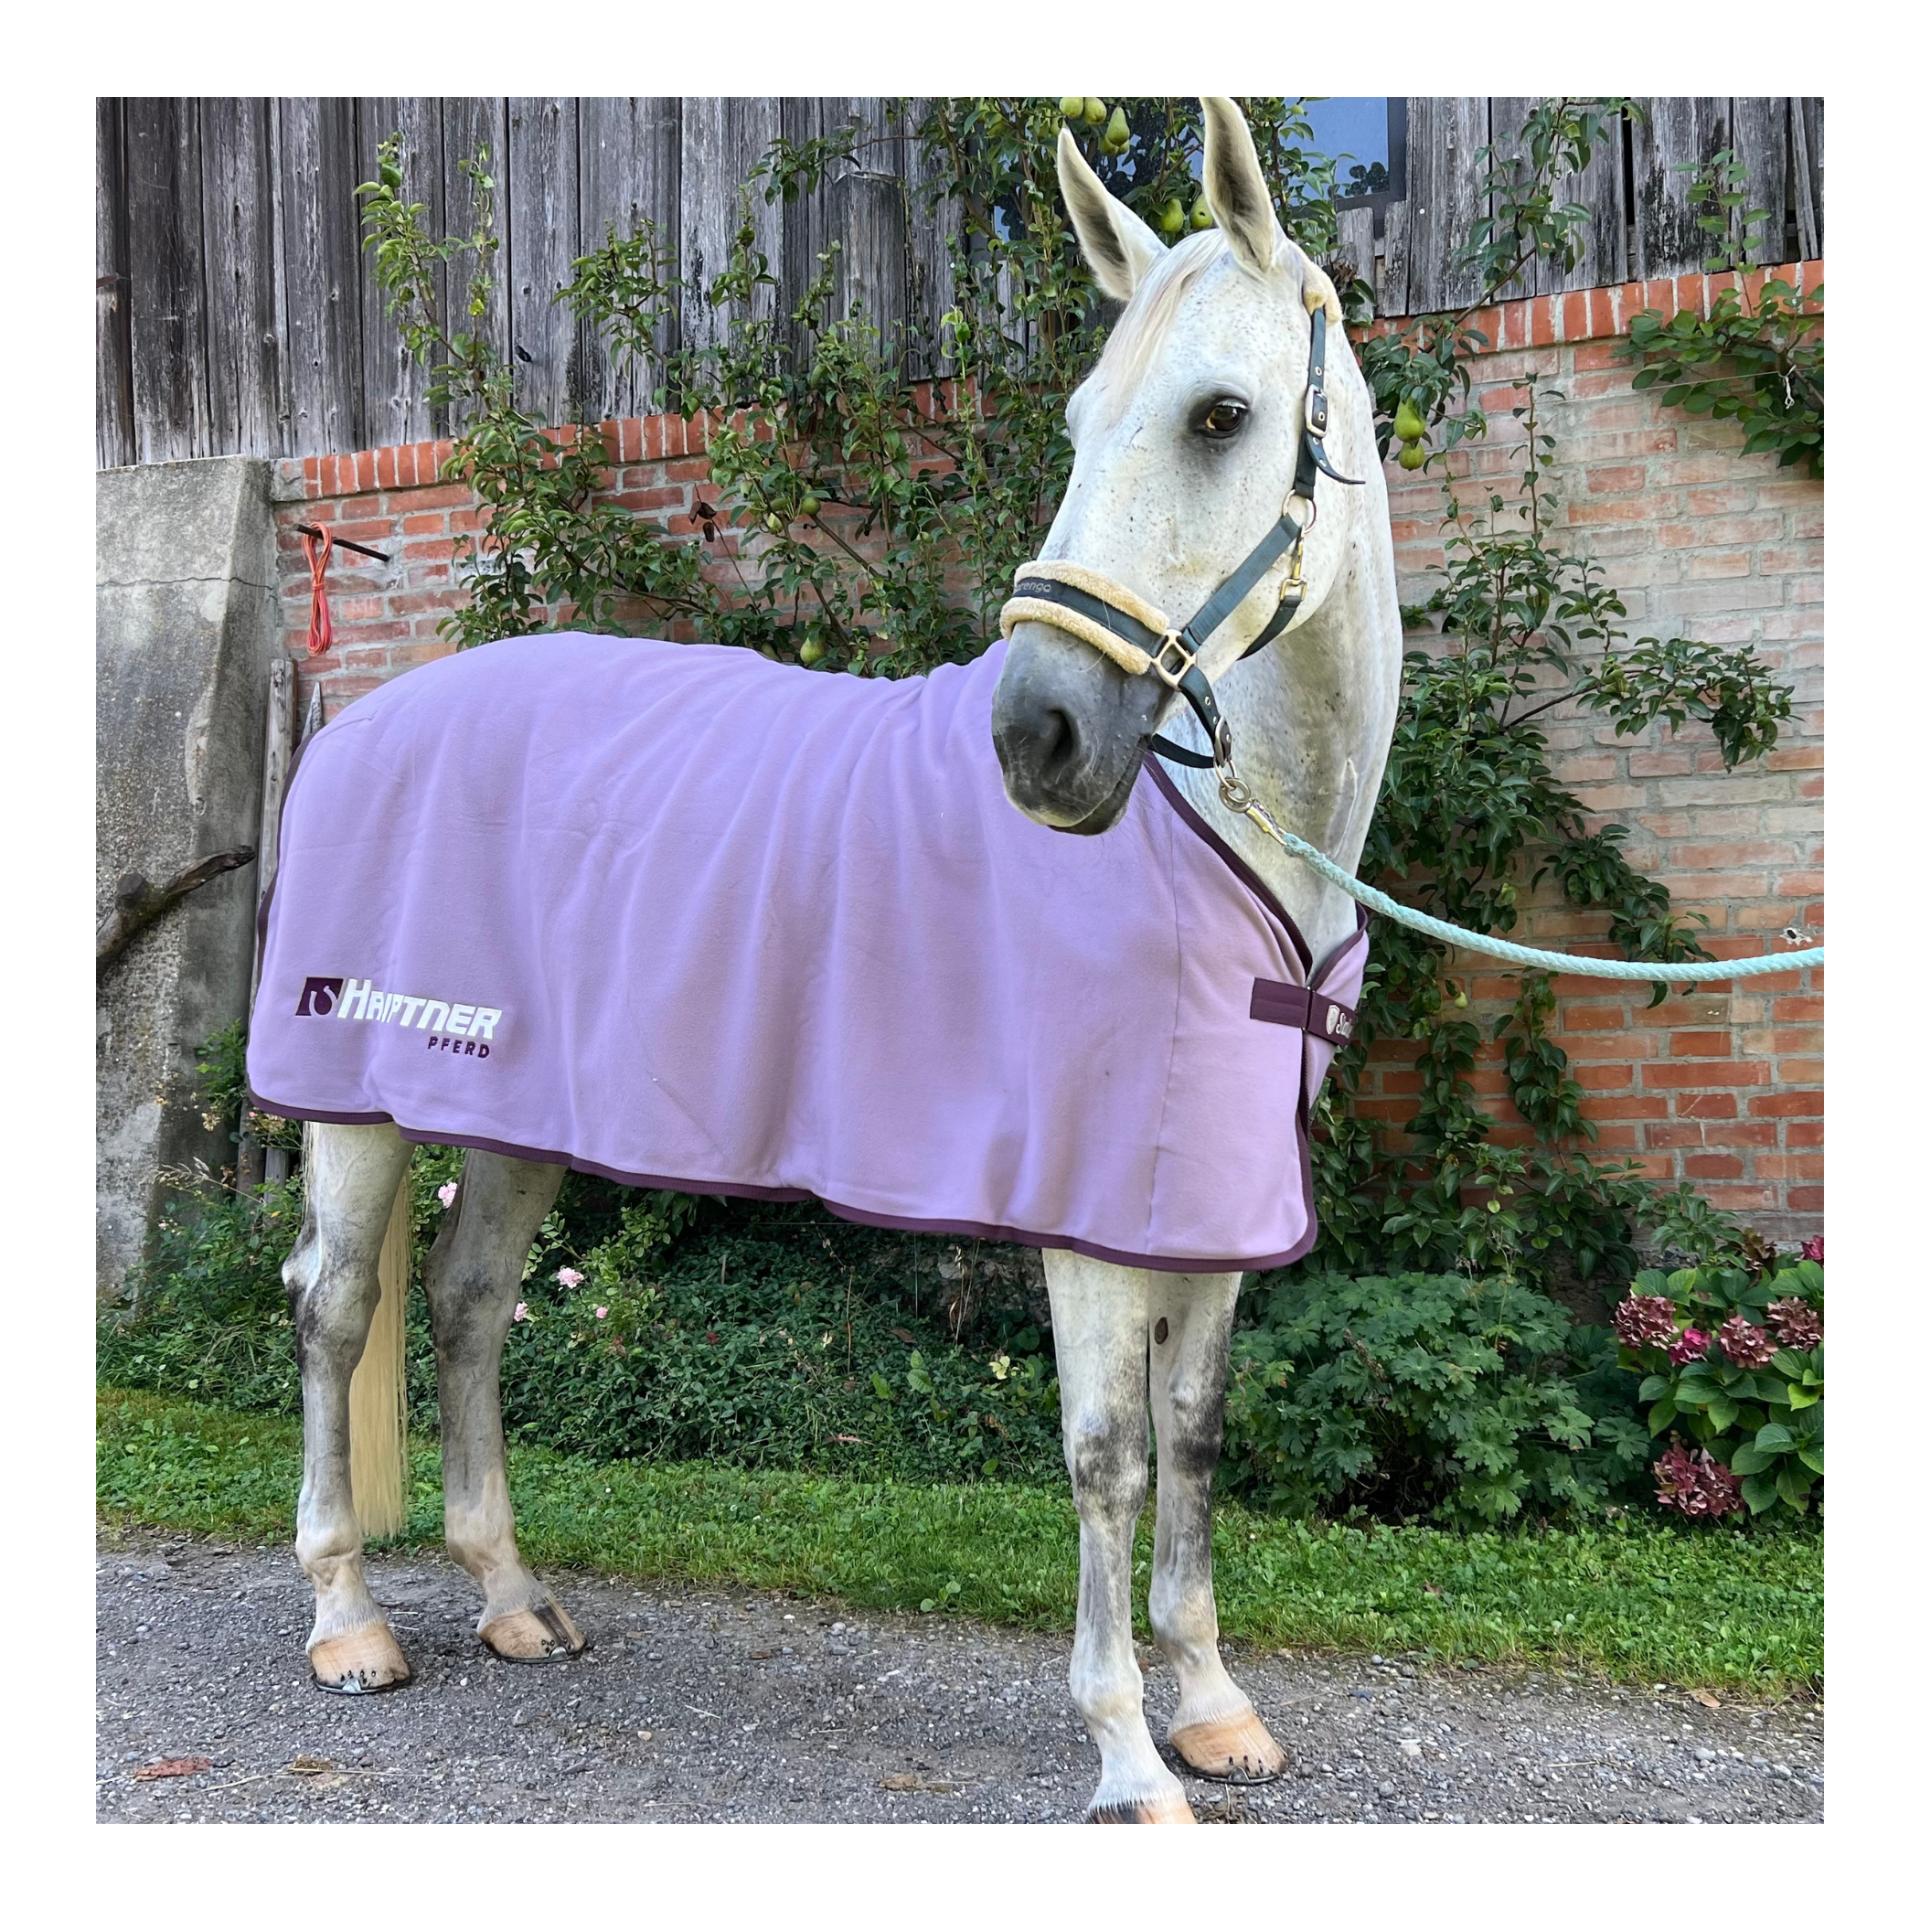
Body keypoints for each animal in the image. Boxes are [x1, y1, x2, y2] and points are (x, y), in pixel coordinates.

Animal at [250, 96, 1402, 1825]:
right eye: (1080, 423)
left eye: (1221, 417)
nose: (1038, 734)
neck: (1224, 834)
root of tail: (362, 717)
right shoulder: (1093, 1215)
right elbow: (1108, 1457)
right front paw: (1129, 1757)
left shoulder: (1210, 1204)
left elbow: (1195, 1439)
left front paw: (1212, 1708)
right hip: (357, 1103)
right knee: (335, 1313)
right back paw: (345, 1624)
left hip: (516, 1112)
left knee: (465, 1303)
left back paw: (513, 1598)